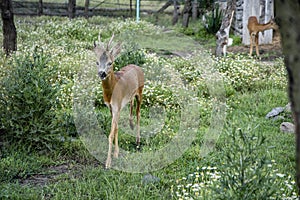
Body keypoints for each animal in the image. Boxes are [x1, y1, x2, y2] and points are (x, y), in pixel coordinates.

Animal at [94, 34, 145, 169]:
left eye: (110, 63)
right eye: (97, 62)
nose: (102, 73)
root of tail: (137, 66)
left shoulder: (117, 106)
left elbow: (111, 134)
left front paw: (108, 163)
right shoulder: (111, 107)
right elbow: (116, 129)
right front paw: (116, 153)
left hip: (141, 91)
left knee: (139, 113)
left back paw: (138, 141)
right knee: (132, 106)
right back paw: (131, 125)